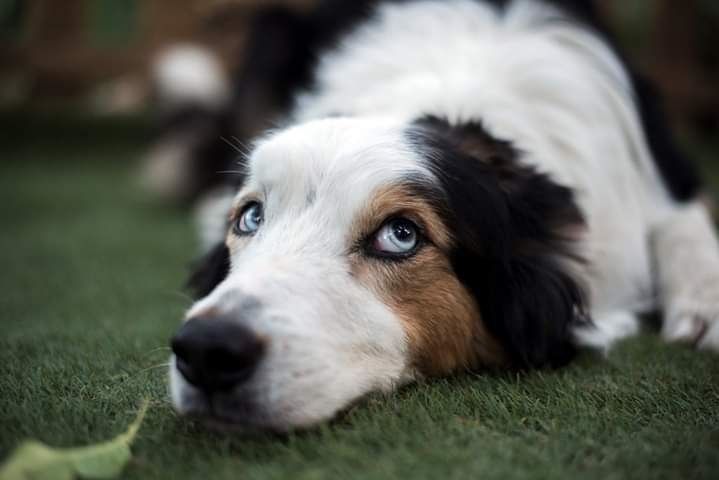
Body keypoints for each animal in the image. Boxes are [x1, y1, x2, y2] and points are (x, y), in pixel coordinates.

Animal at [159, 0, 719, 432]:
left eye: (401, 235)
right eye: (251, 217)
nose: (206, 349)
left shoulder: (665, 168)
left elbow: (682, 219)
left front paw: (705, 303)